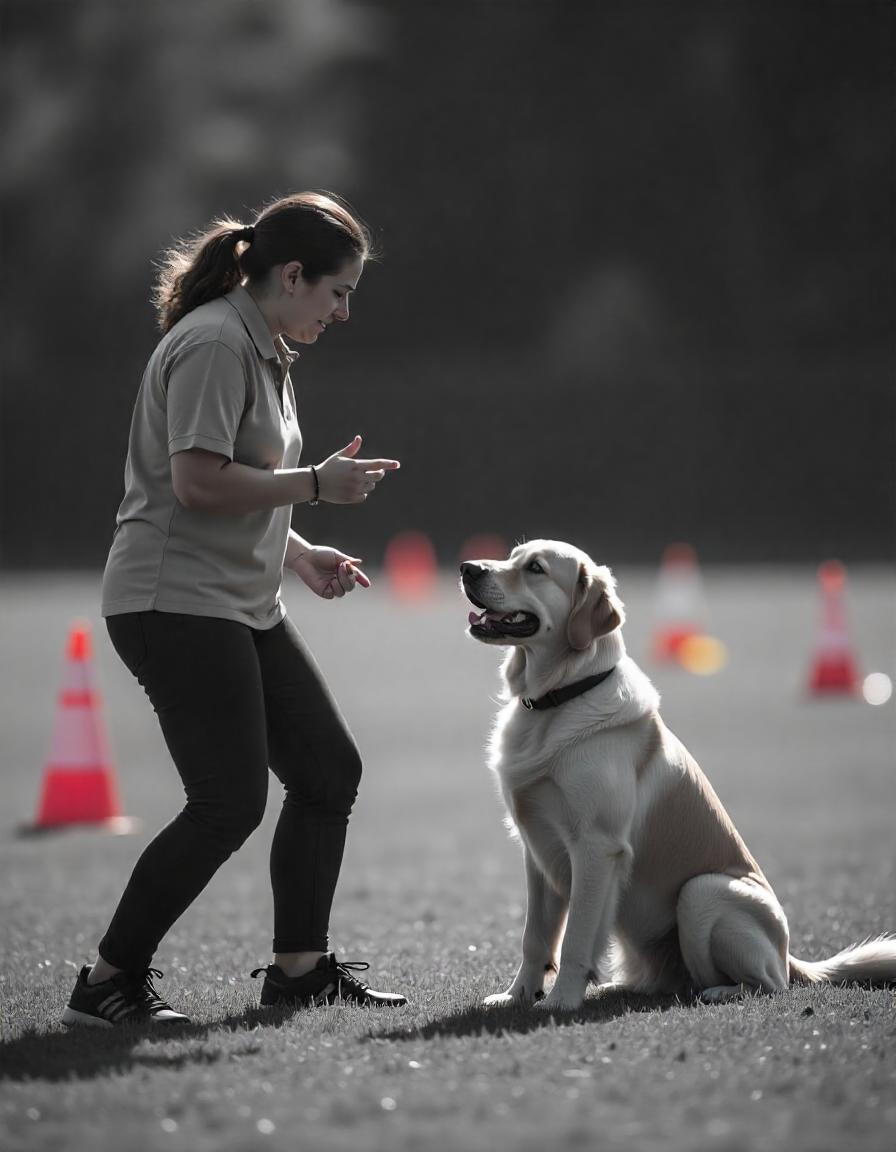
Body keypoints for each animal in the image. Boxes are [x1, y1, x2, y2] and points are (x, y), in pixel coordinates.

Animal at [460, 539, 893, 1009]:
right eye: (511, 556)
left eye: (536, 568)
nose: (468, 568)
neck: (557, 700)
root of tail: (790, 955)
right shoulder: (536, 848)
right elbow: (535, 937)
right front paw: (518, 995)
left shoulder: (596, 846)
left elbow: (576, 938)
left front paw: (561, 1002)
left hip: (703, 892)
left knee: (767, 983)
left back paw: (720, 991)